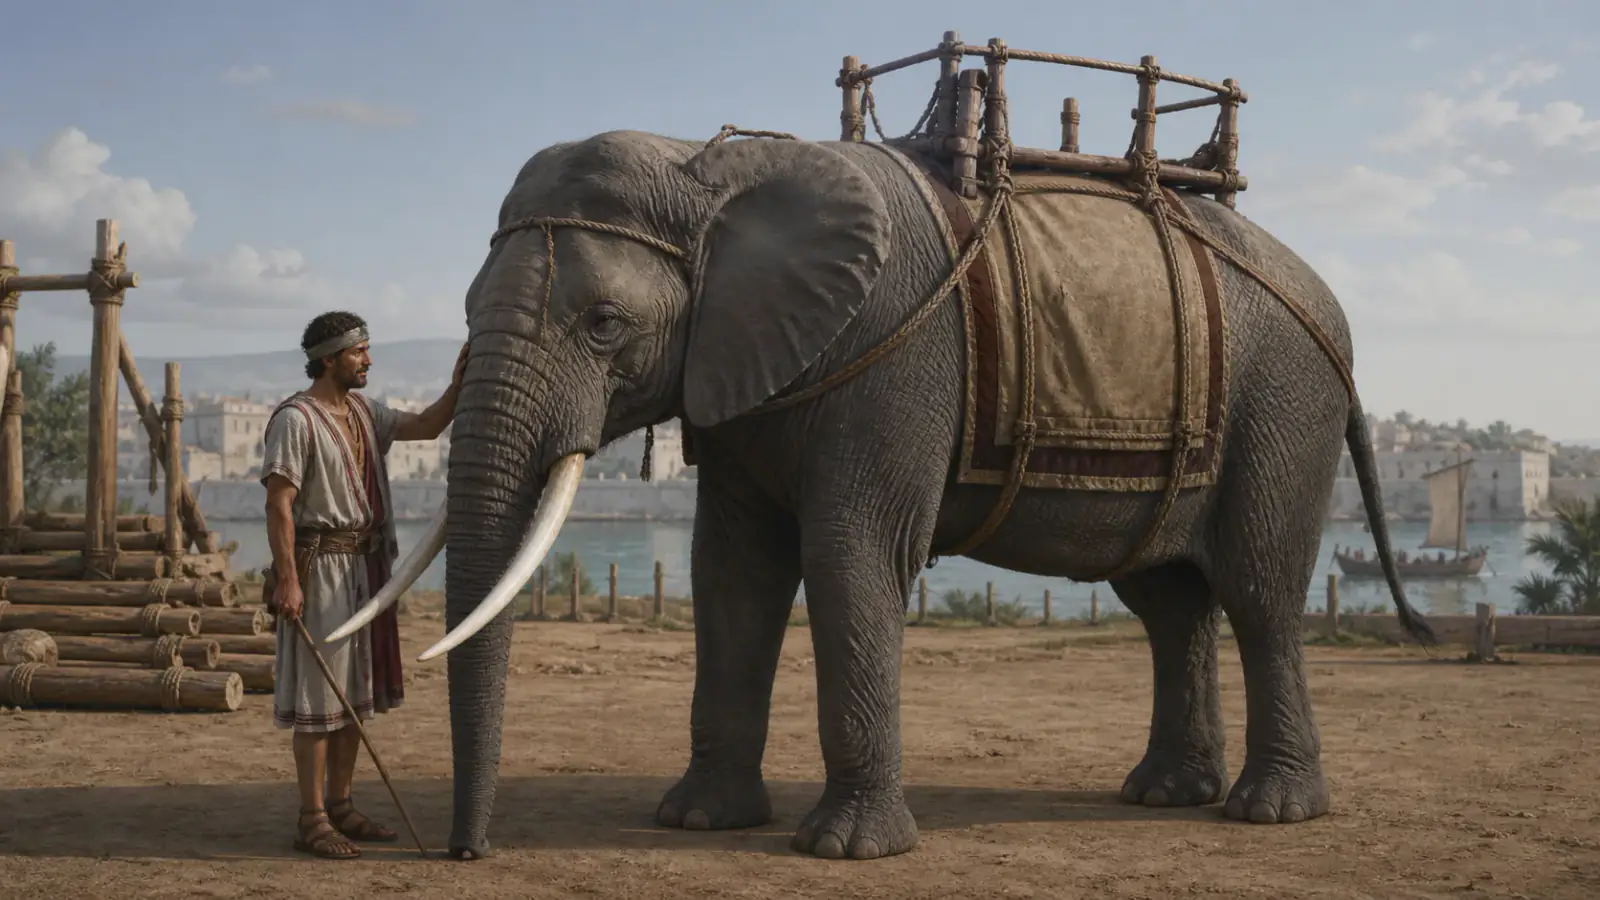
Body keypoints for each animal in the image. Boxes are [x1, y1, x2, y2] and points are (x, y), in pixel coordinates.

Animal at [334, 128, 1433, 861]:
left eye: (605, 325)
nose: (463, 854)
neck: (708, 167)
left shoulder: (893, 361)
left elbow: (849, 556)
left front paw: (847, 851)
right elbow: (731, 573)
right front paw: (697, 820)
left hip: (1283, 402)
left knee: (1257, 591)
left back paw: (1268, 812)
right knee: (1166, 599)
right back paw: (1163, 795)